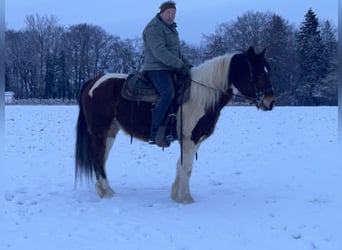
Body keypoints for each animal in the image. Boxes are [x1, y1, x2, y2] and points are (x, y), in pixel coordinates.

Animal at [75, 46, 276, 203]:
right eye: (258, 73)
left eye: (268, 71)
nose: (271, 101)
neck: (201, 95)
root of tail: (93, 82)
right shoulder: (190, 139)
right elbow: (187, 168)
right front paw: (186, 199)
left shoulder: (192, 140)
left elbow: (180, 166)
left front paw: (175, 195)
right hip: (100, 131)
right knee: (98, 160)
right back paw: (107, 193)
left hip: (110, 132)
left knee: (102, 159)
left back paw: (106, 191)